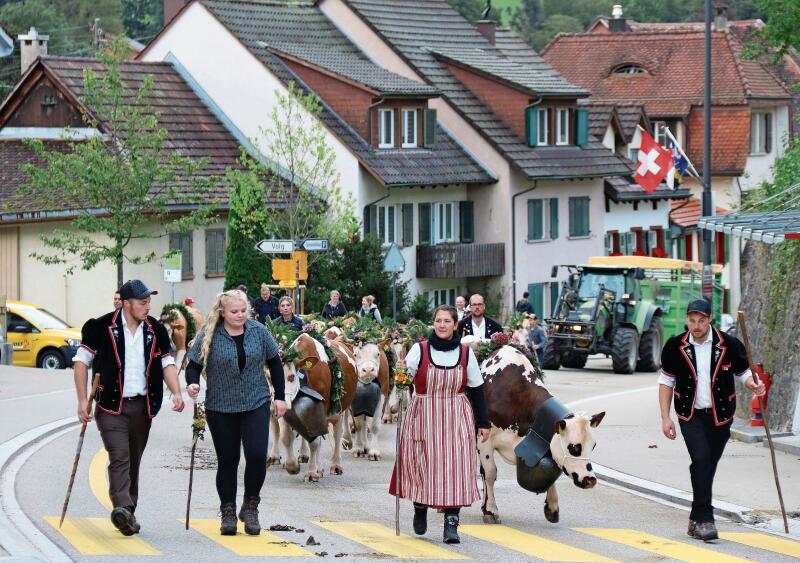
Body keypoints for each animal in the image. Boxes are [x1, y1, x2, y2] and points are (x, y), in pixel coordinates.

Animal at [478, 346, 604, 528]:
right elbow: (489, 473)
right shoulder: (484, 441)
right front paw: (490, 510)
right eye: (574, 447)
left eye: (593, 446)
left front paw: (552, 506)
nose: (590, 480)